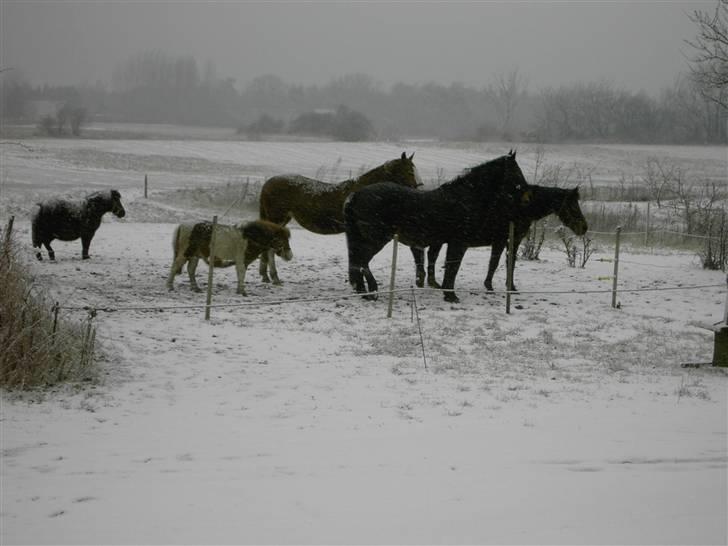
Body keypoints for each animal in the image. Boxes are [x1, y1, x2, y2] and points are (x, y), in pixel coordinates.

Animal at [260, 151, 420, 282]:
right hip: (277, 219)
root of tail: (268, 183)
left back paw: (265, 275)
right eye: (409, 171)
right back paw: (274, 277)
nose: (418, 189)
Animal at [344, 150, 532, 302]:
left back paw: (363, 291)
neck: (465, 197)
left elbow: (450, 266)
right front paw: (450, 295)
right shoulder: (459, 243)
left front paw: (446, 292)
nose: (526, 197)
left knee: (357, 262)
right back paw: (372, 291)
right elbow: (453, 267)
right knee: (362, 261)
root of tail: (356, 195)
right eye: (516, 171)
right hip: (376, 240)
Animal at [424, 184, 588, 294]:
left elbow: (511, 262)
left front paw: (511, 287)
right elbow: (494, 263)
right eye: (573, 206)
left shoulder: (514, 241)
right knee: (432, 256)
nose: (584, 228)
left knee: (432, 255)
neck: (517, 208)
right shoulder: (500, 240)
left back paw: (433, 283)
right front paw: (489, 285)